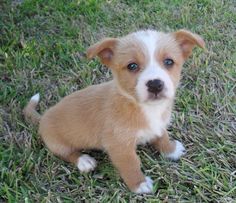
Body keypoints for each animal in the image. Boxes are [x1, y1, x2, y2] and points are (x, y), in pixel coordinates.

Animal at [24, 29, 205, 193]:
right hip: (56, 143)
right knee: (67, 153)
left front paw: (171, 150)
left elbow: (162, 137)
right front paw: (139, 184)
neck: (143, 107)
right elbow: (131, 164)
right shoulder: (119, 146)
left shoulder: (158, 126)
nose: (155, 84)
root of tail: (43, 117)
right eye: (132, 66)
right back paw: (84, 161)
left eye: (168, 62)